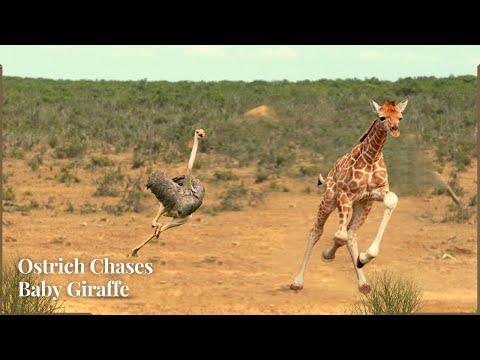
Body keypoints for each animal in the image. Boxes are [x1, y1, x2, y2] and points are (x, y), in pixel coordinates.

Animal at [290, 98, 406, 292]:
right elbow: (339, 236)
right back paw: (297, 282)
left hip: (363, 205)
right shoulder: (345, 196)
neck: (371, 157)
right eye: (381, 117)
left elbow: (391, 200)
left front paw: (363, 258)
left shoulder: (373, 194)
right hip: (328, 199)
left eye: (400, 117)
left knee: (351, 233)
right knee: (317, 231)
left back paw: (363, 283)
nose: (395, 129)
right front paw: (327, 254)